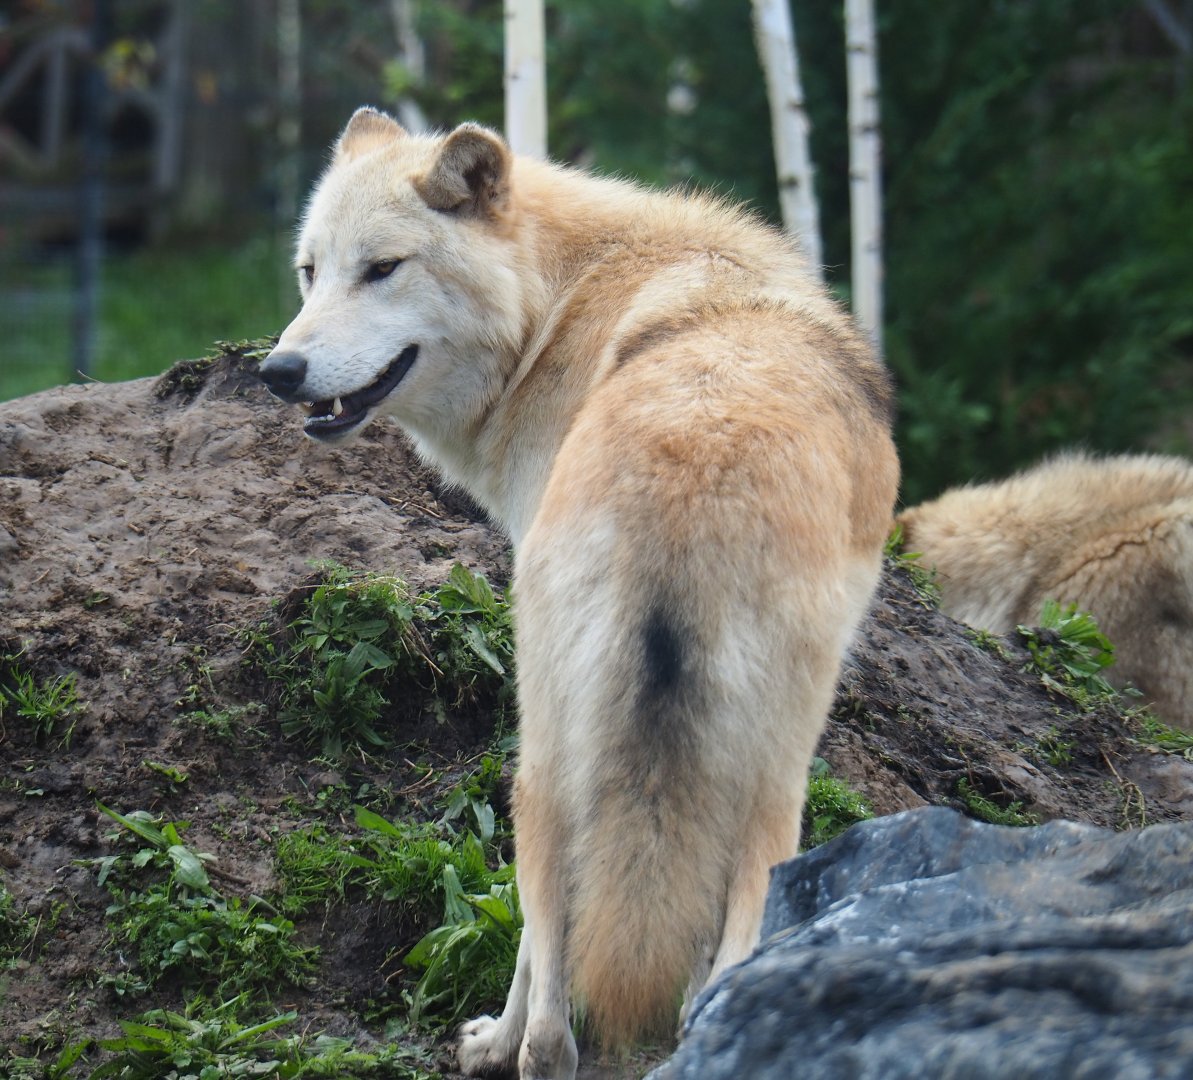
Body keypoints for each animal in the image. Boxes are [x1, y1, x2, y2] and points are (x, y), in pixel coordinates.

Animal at [258, 107, 899, 1080]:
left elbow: (533, 937)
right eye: (308, 271)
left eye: (381, 269)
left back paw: (518, 1047)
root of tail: (693, 468)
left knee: (550, 967)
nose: (279, 372)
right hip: (764, 775)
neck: (551, 313)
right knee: (726, 928)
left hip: (545, 755)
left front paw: (487, 1041)